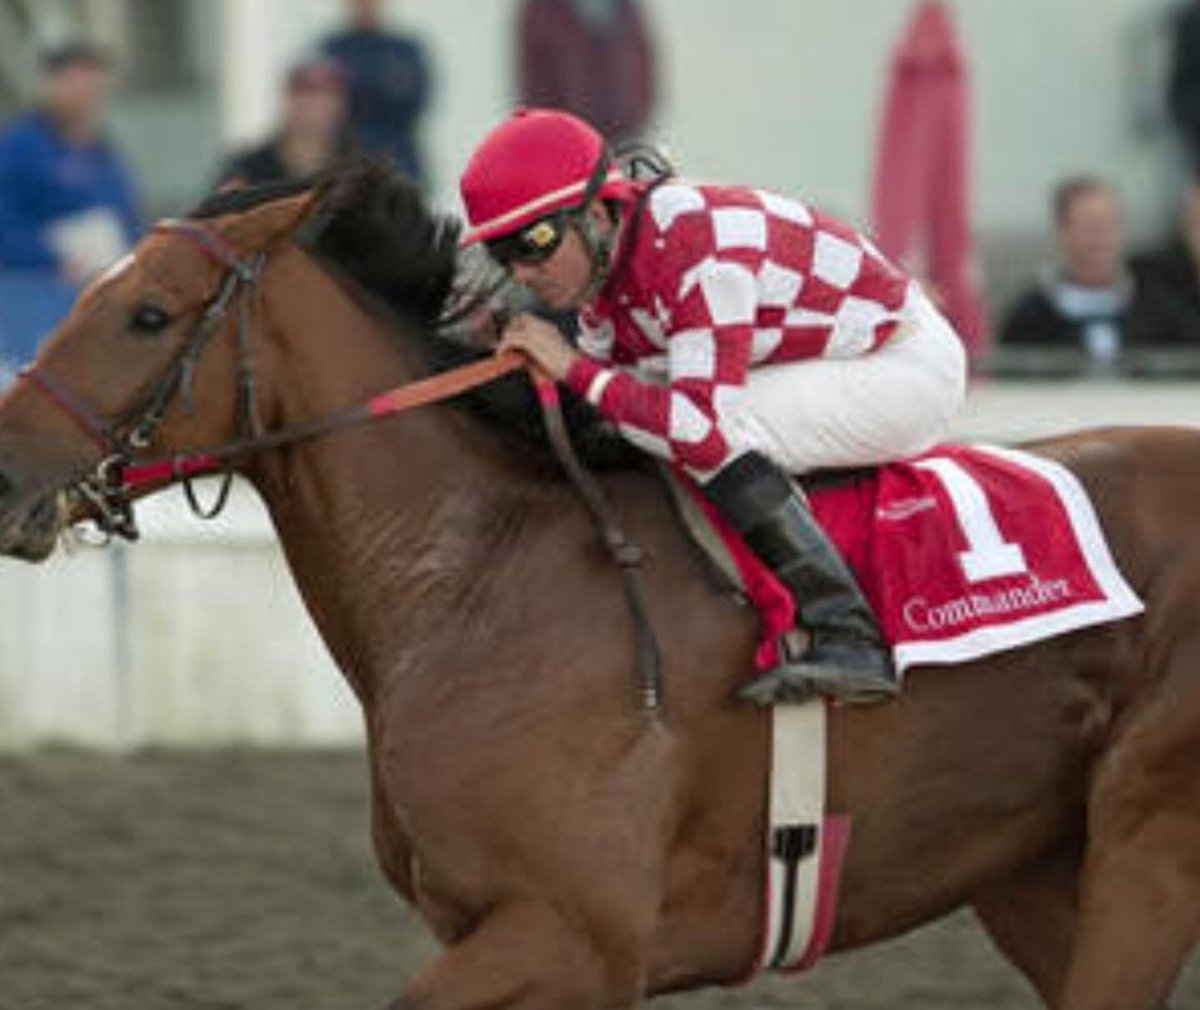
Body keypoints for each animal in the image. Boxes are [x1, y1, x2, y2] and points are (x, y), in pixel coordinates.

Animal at [1, 163, 1198, 1010]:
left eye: (148, 314)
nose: (4, 468)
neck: (481, 578)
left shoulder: (574, 936)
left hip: (1147, 846)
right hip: (1032, 868)